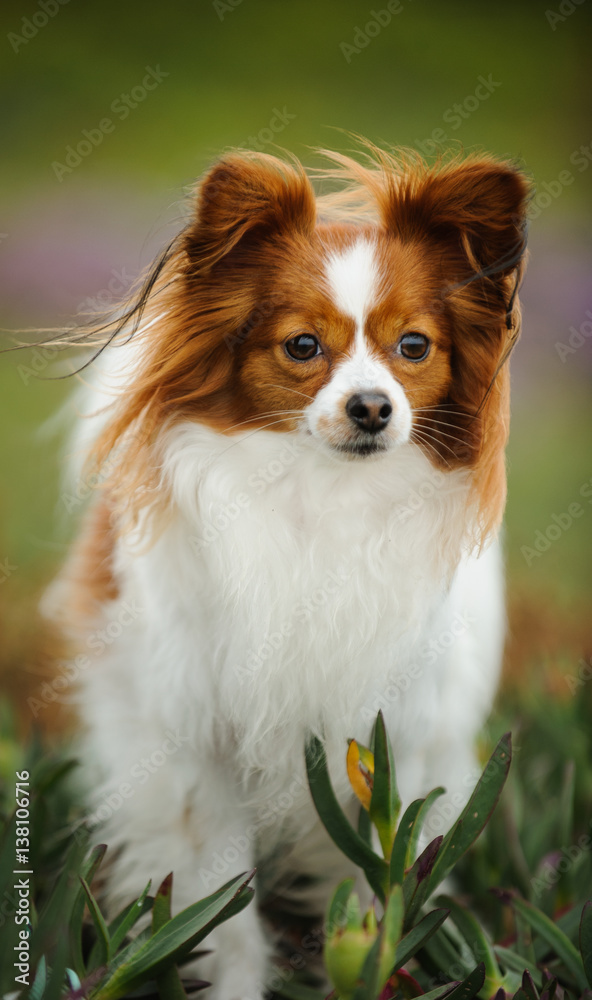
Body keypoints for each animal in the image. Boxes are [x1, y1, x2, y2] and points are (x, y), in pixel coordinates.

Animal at [51, 145, 528, 996]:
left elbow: (380, 889)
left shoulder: (387, 747)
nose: (372, 407)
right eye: (303, 347)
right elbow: (221, 910)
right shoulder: (198, 748)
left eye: (414, 347)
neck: (320, 497)